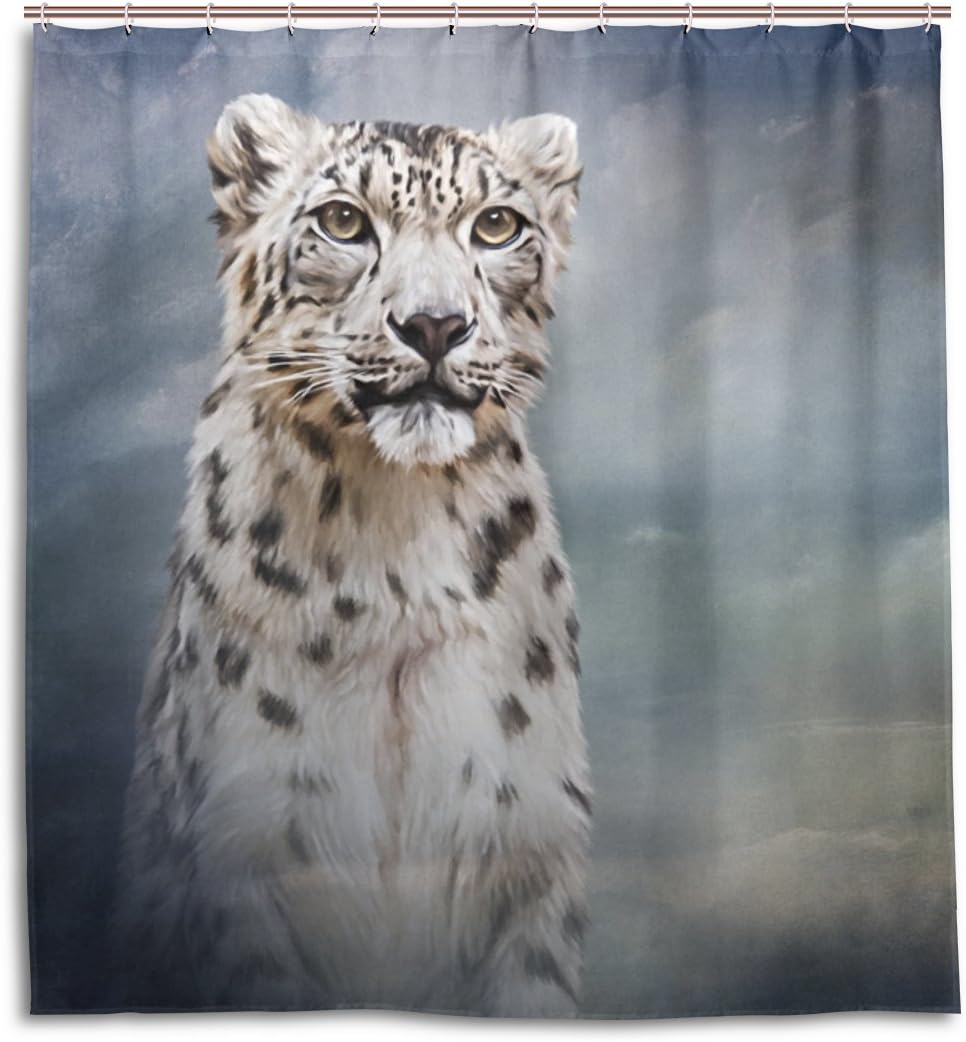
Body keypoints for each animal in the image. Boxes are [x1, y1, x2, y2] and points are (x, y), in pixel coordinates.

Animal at [113, 93, 590, 1017]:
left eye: (497, 225)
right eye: (342, 221)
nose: (435, 324)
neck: (397, 545)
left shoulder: (533, 846)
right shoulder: (246, 856)